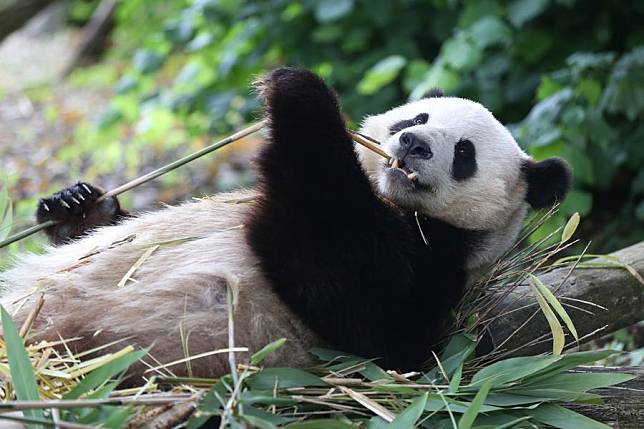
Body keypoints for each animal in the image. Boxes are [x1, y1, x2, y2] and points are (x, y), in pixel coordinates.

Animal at [0, 67, 568, 378]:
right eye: (418, 117)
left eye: (465, 154)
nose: (413, 144)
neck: (394, 203)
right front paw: (76, 205)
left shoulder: (436, 268)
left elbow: (365, 310)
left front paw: (300, 92)